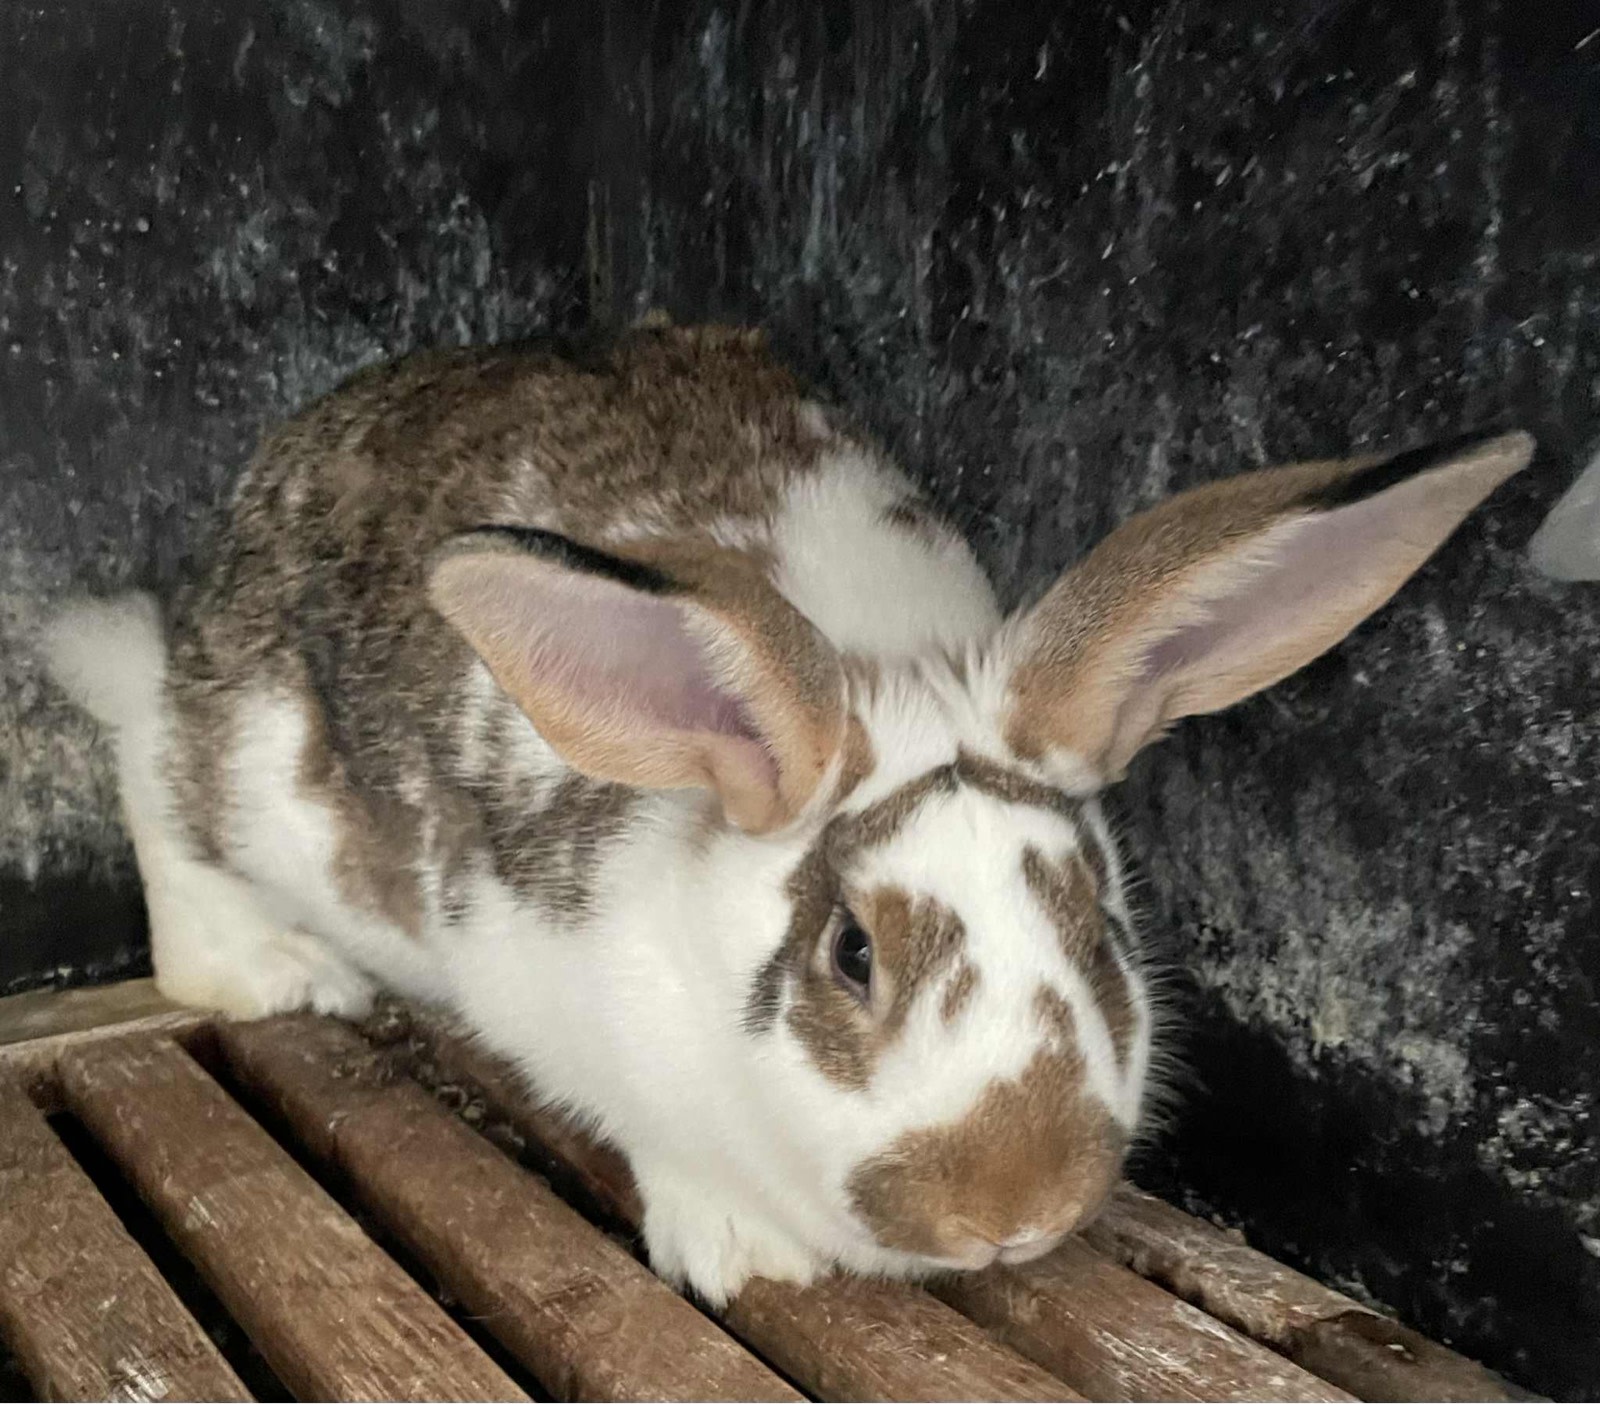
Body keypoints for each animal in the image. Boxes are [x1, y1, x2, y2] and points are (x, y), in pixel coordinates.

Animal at [43, 323, 1533, 1304]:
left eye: (1097, 924)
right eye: (850, 954)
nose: (1010, 1205)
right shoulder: (547, 989)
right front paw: (745, 1254)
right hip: (238, 770)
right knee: (145, 766)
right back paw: (272, 971)